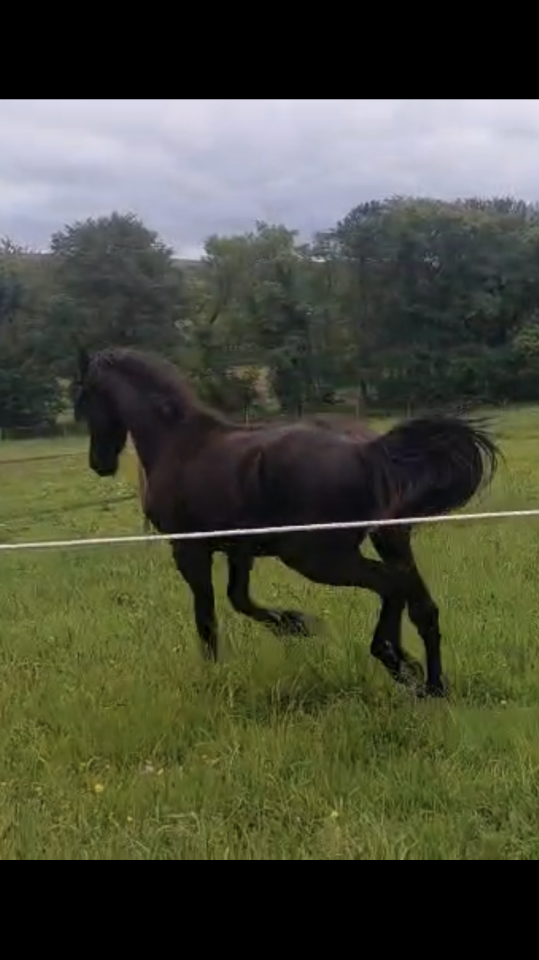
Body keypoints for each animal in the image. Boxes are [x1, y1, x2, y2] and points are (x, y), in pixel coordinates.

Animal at [73, 346, 499, 699]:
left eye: (87, 397)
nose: (99, 462)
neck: (178, 441)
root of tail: (369, 451)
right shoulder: (239, 550)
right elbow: (240, 599)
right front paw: (295, 624)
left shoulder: (189, 549)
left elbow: (207, 616)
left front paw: (218, 671)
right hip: (388, 539)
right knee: (421, 606)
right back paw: (430, 684)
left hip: (317, 557)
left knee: (392, 587)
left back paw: (396, 661)